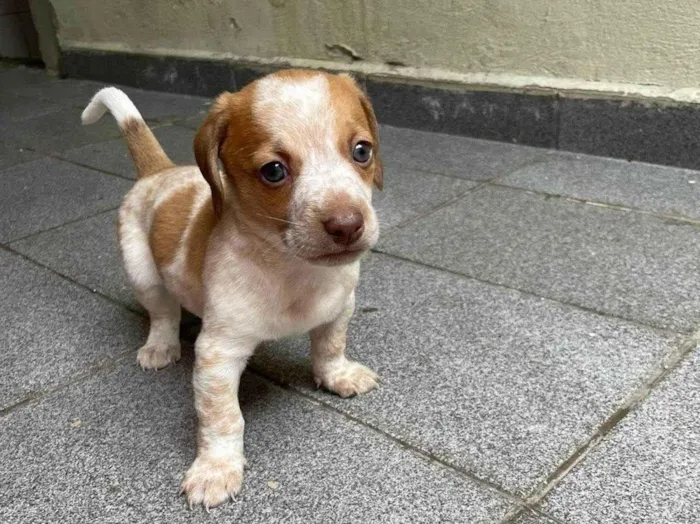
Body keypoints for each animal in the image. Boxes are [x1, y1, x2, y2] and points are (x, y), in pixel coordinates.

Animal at [85, 69, 386, 508]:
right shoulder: (218, 354)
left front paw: (337, 375)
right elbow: (223, 418)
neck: (292, 269)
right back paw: (161, 345)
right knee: (162, 313)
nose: (347, 225)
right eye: (274, 171)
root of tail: (157, 172)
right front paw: (217, 469)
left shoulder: (340, 307)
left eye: (362, 151)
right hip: (142, 272)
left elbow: (330, 346)